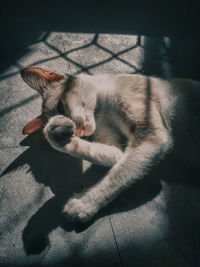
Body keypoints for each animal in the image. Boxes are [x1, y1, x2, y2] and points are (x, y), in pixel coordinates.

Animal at [20, 67, 200, 224]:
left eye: (60, 107)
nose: (77, 131)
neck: (104, 109)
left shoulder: (152, 136)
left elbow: (117, 176)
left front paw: (83, 204)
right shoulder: (117, 146)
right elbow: (112, 159)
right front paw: (57, 134)